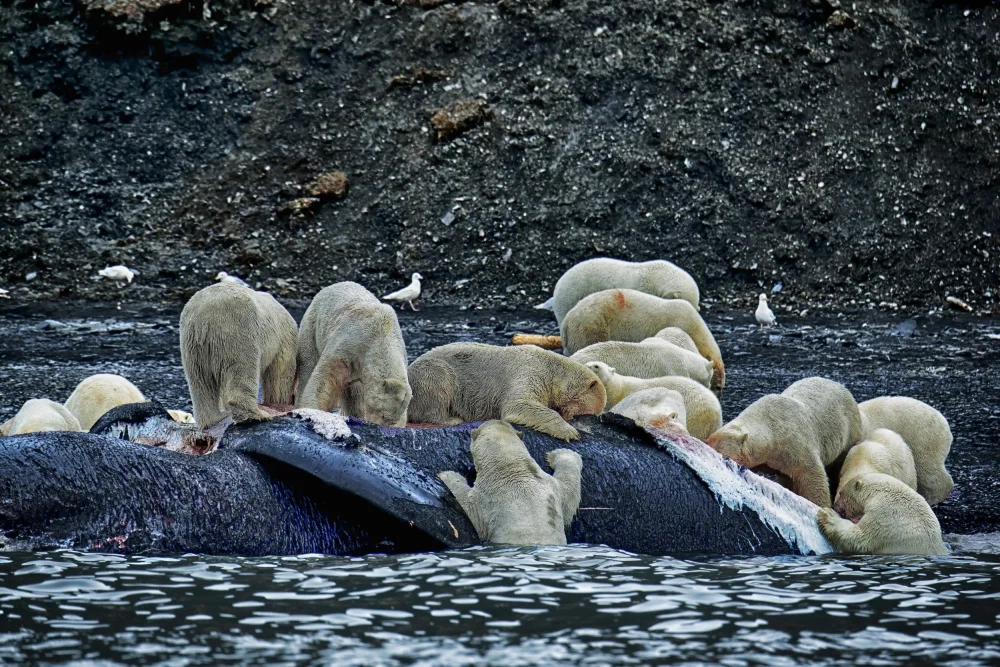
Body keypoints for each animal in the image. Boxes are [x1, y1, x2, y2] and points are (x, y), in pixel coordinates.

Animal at [179, 282, 298, 428]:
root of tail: (204, 317)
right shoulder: (284, 339)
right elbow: (280, 375)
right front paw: (279, 403)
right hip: (238, 329)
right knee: (244, 366)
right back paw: (256, 415)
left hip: (192, 343)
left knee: (200, 380)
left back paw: (214, 419)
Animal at [295, 282, 412, 427]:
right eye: (383, 414)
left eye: (393, 420)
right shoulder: (351, 342)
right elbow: (325, 380)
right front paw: (312, 410)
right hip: (313, 324)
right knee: (308, 364)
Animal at [407, 343, 606, 441]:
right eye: (589, 411)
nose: (572, 418)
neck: (553, 369)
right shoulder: (531, 371)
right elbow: (519, 404)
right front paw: (570, 432)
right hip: (429, 373)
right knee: (437, 381)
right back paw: (451, 418)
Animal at [437, 420, 583, 545]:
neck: (512, 467)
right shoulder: (550, 487)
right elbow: (569, 495)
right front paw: (564, 452)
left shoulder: (487, 498)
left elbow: (469, 506)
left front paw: (446, 475)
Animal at [817, 472, 948, 555]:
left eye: (841, 493)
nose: (834, 506)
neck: (878, 492)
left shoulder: (885, 514)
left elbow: (861, 539)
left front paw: (827, 514)